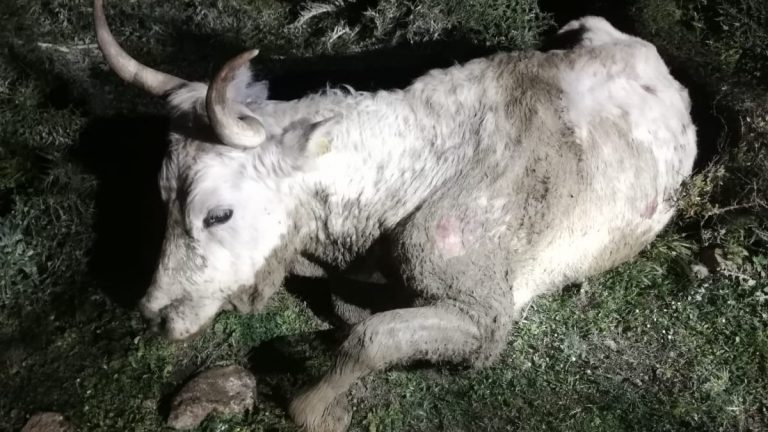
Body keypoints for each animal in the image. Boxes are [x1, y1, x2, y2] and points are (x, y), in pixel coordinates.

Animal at [93, 0, 697, 430]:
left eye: (219, 214)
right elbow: (354, 318)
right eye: (161, 196)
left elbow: (371, 338)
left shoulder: (486, 314)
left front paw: (311, 405)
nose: (153, 313)